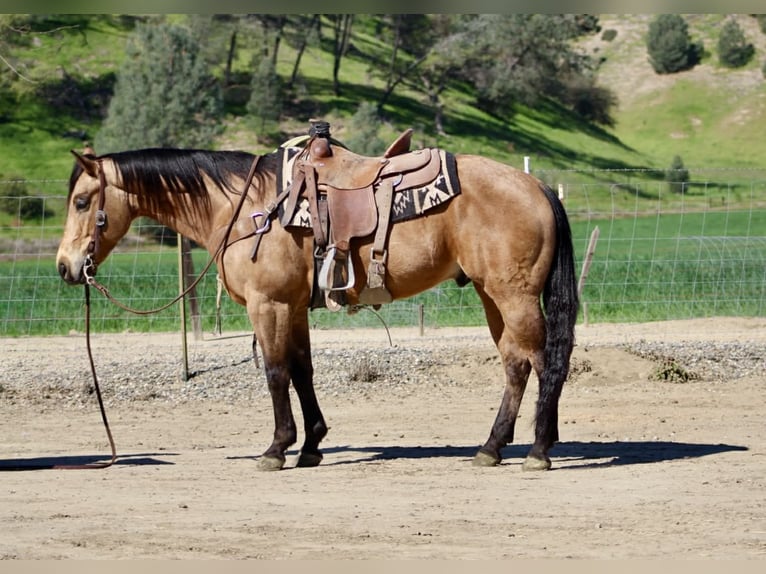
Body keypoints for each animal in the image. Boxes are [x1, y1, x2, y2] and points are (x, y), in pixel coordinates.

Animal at [56, 136, 578, 472]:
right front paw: (311, 444)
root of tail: (537, 187)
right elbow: (302, 369)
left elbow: (275, 371)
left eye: (82, 202)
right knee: (517, 363)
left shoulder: (267, 304)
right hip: (493, 296)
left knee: (543, 361)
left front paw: (276, 448)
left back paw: (538, 450)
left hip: (514, 295)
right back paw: (493, 446)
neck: (247, 208)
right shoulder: (292, 306)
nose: (65, 266)